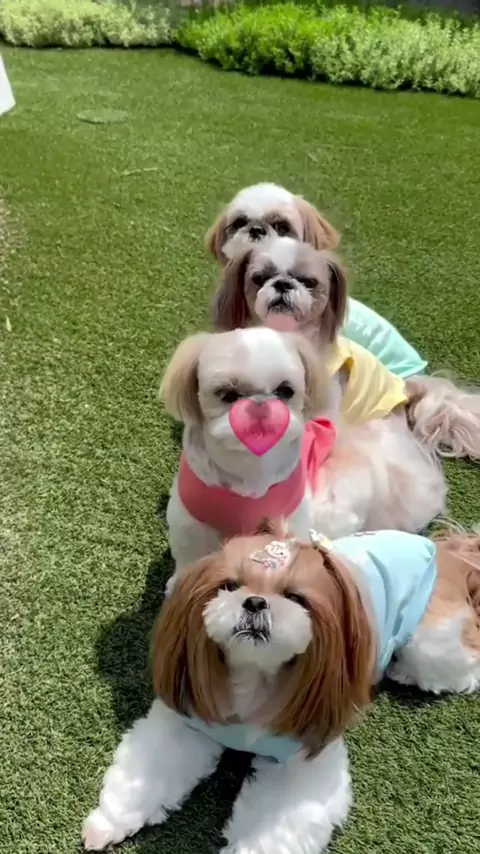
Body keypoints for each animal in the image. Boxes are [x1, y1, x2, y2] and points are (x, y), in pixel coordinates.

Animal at [82, 523, 480, 853]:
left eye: (295, 597)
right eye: (230, 585)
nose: (255, 601)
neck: (253, 678)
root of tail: (445, 551)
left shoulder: (304, 763)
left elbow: (277, 827)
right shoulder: (187, 723)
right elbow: (146, 774)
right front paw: (108, 822)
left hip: (430, 642)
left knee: (464, 667)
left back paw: (404, 672)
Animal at [159, 326, 444, 589]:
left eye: (285, 391)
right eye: (226, 394)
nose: (261, 406)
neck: (251, 470)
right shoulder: (189, 523)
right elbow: (190, 558)